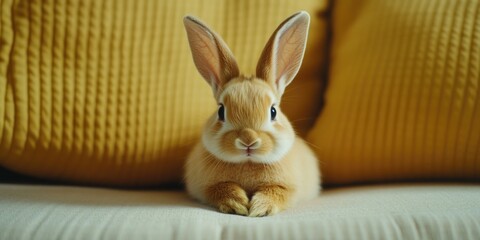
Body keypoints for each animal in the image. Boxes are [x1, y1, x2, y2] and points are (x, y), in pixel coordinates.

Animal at [184, 11, 322, 218]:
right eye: (221, 111)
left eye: (273, 111)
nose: (248, 140)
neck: (247, 163)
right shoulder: (207, 186)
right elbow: (221, 189)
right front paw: (238, 204)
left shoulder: (288, 188)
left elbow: (276, 192)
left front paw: (259, 208)